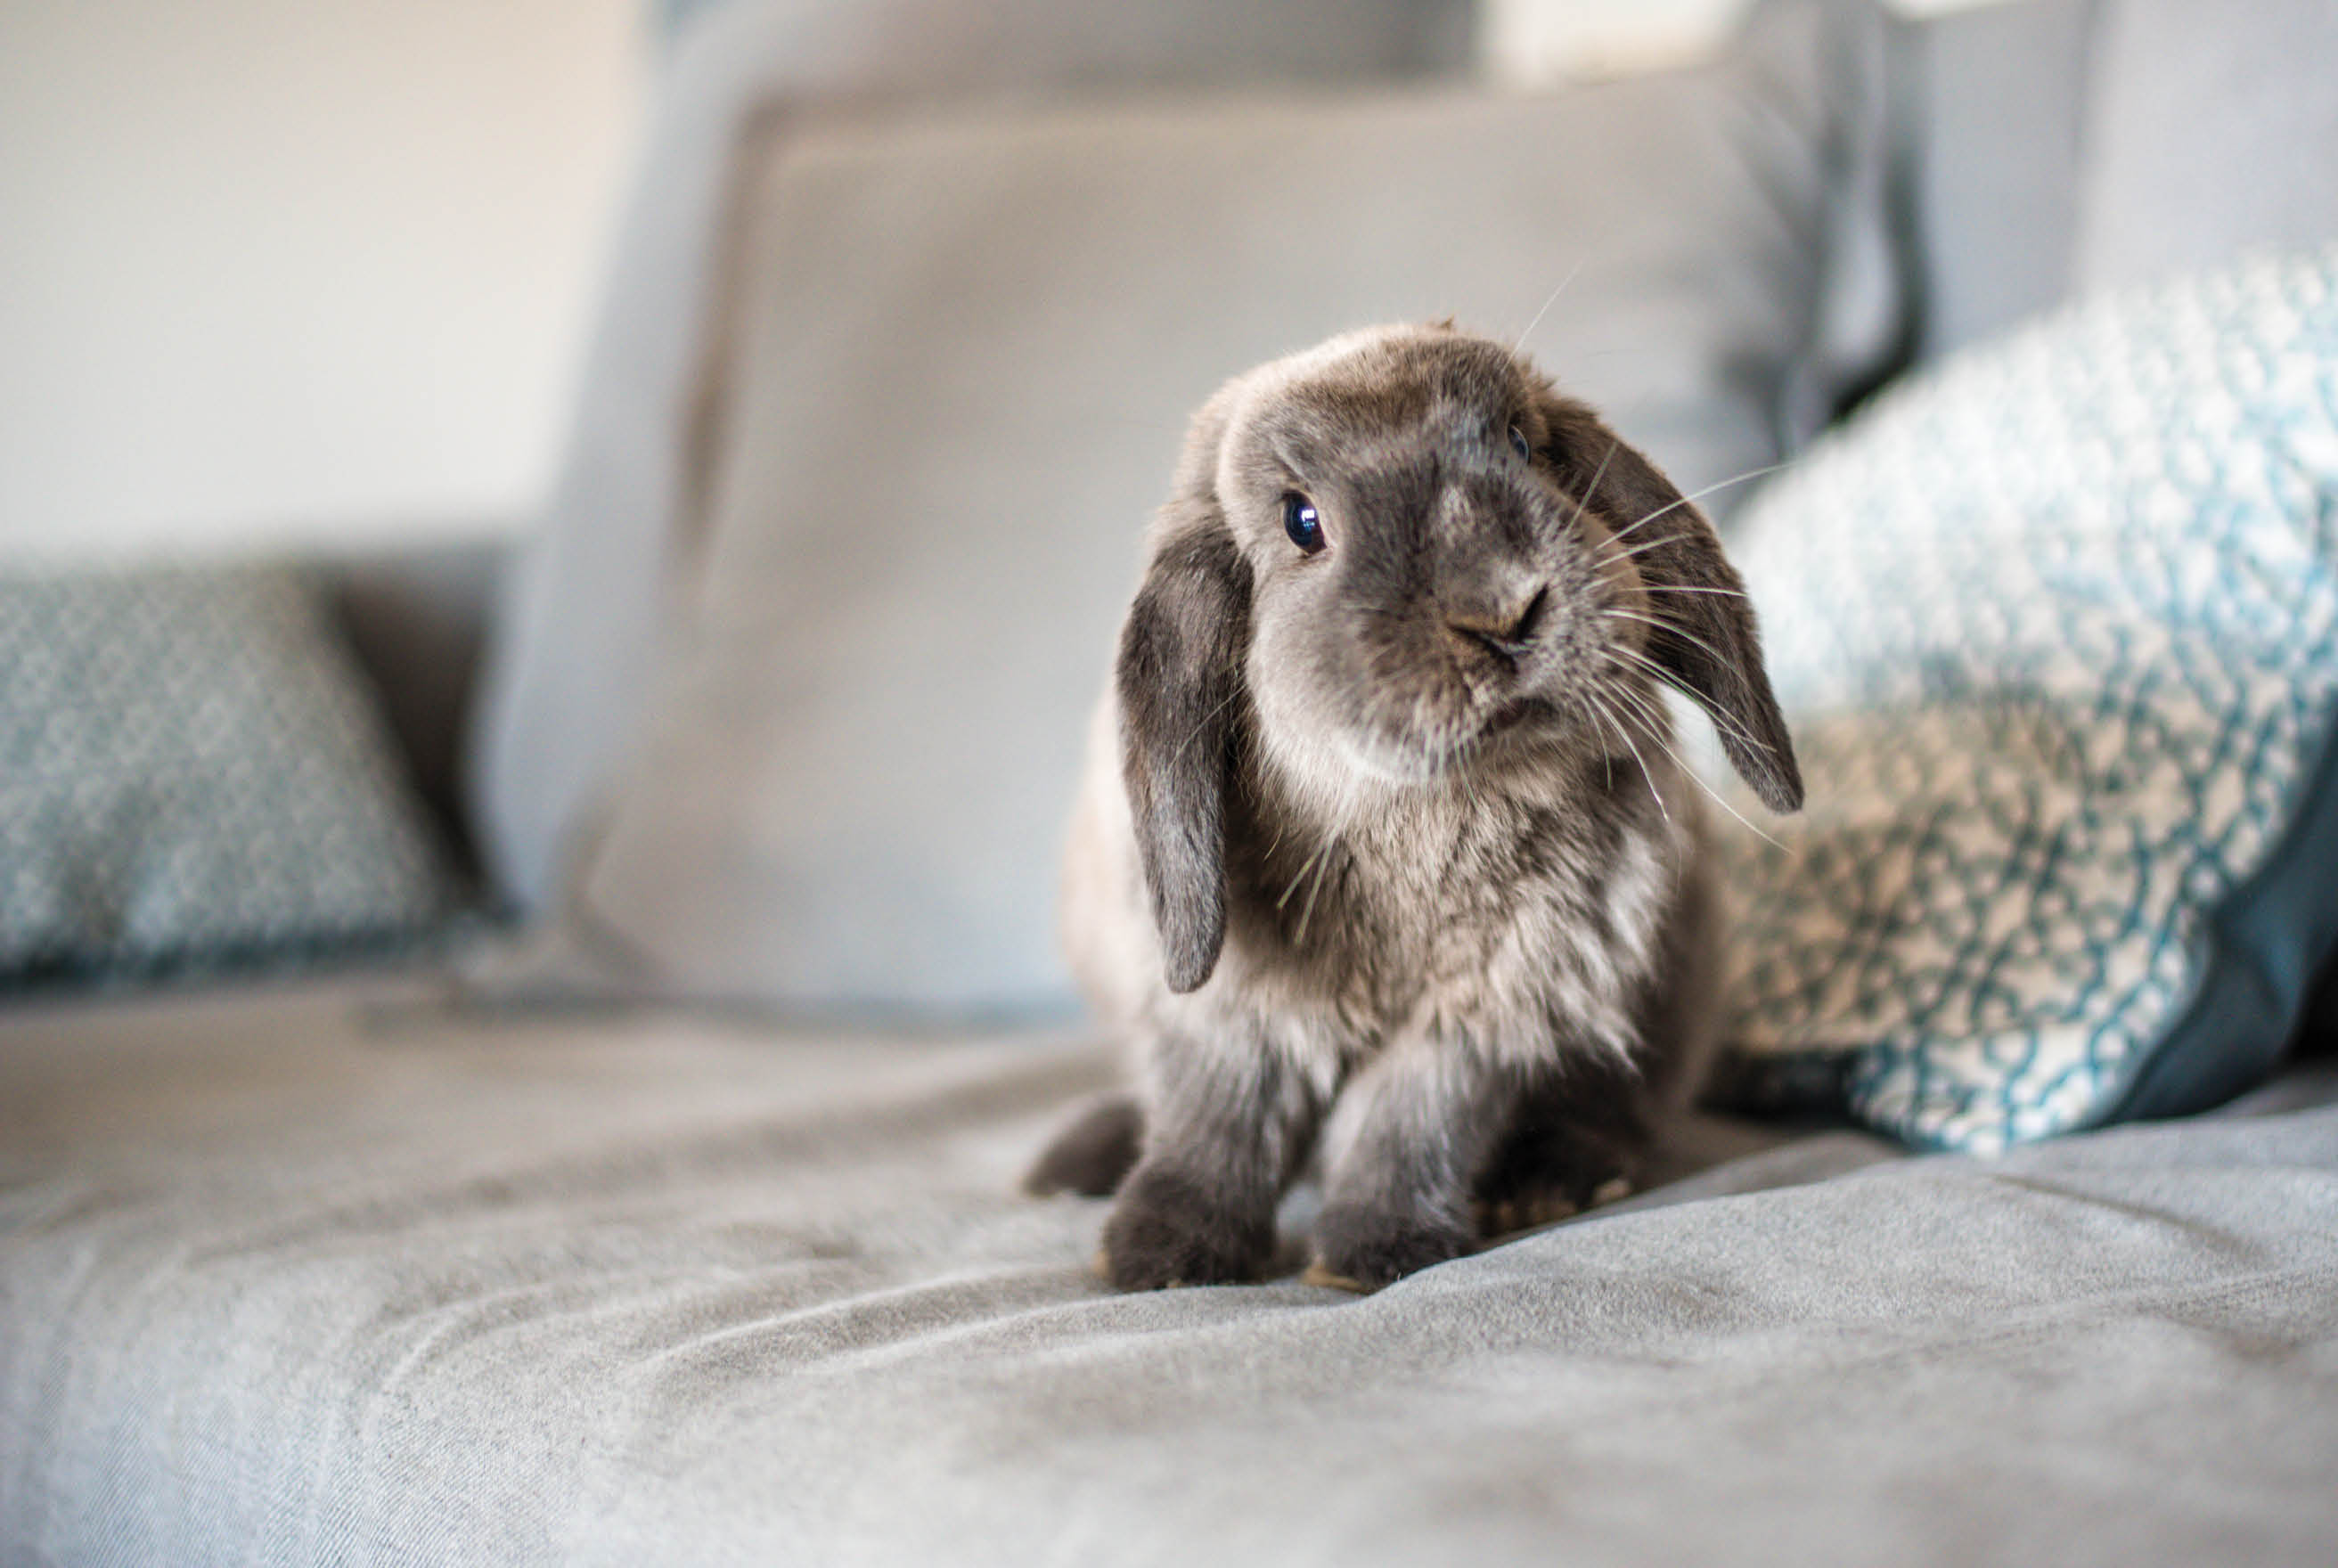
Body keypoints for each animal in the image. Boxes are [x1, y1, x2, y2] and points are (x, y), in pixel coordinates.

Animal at [1025, 322, 1802, 1292]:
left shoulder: (1482, 1014)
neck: (1422, 814)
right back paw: (1076, 1162)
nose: (1502, 609)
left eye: (1521, 444)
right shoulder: (1227, 1014)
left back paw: (1550, 1182)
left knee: (1621, 1112)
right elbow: (1216, 1121)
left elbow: (1407, 1124)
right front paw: (1157, 1255)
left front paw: (1374, 1254)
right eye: (1301, 521)